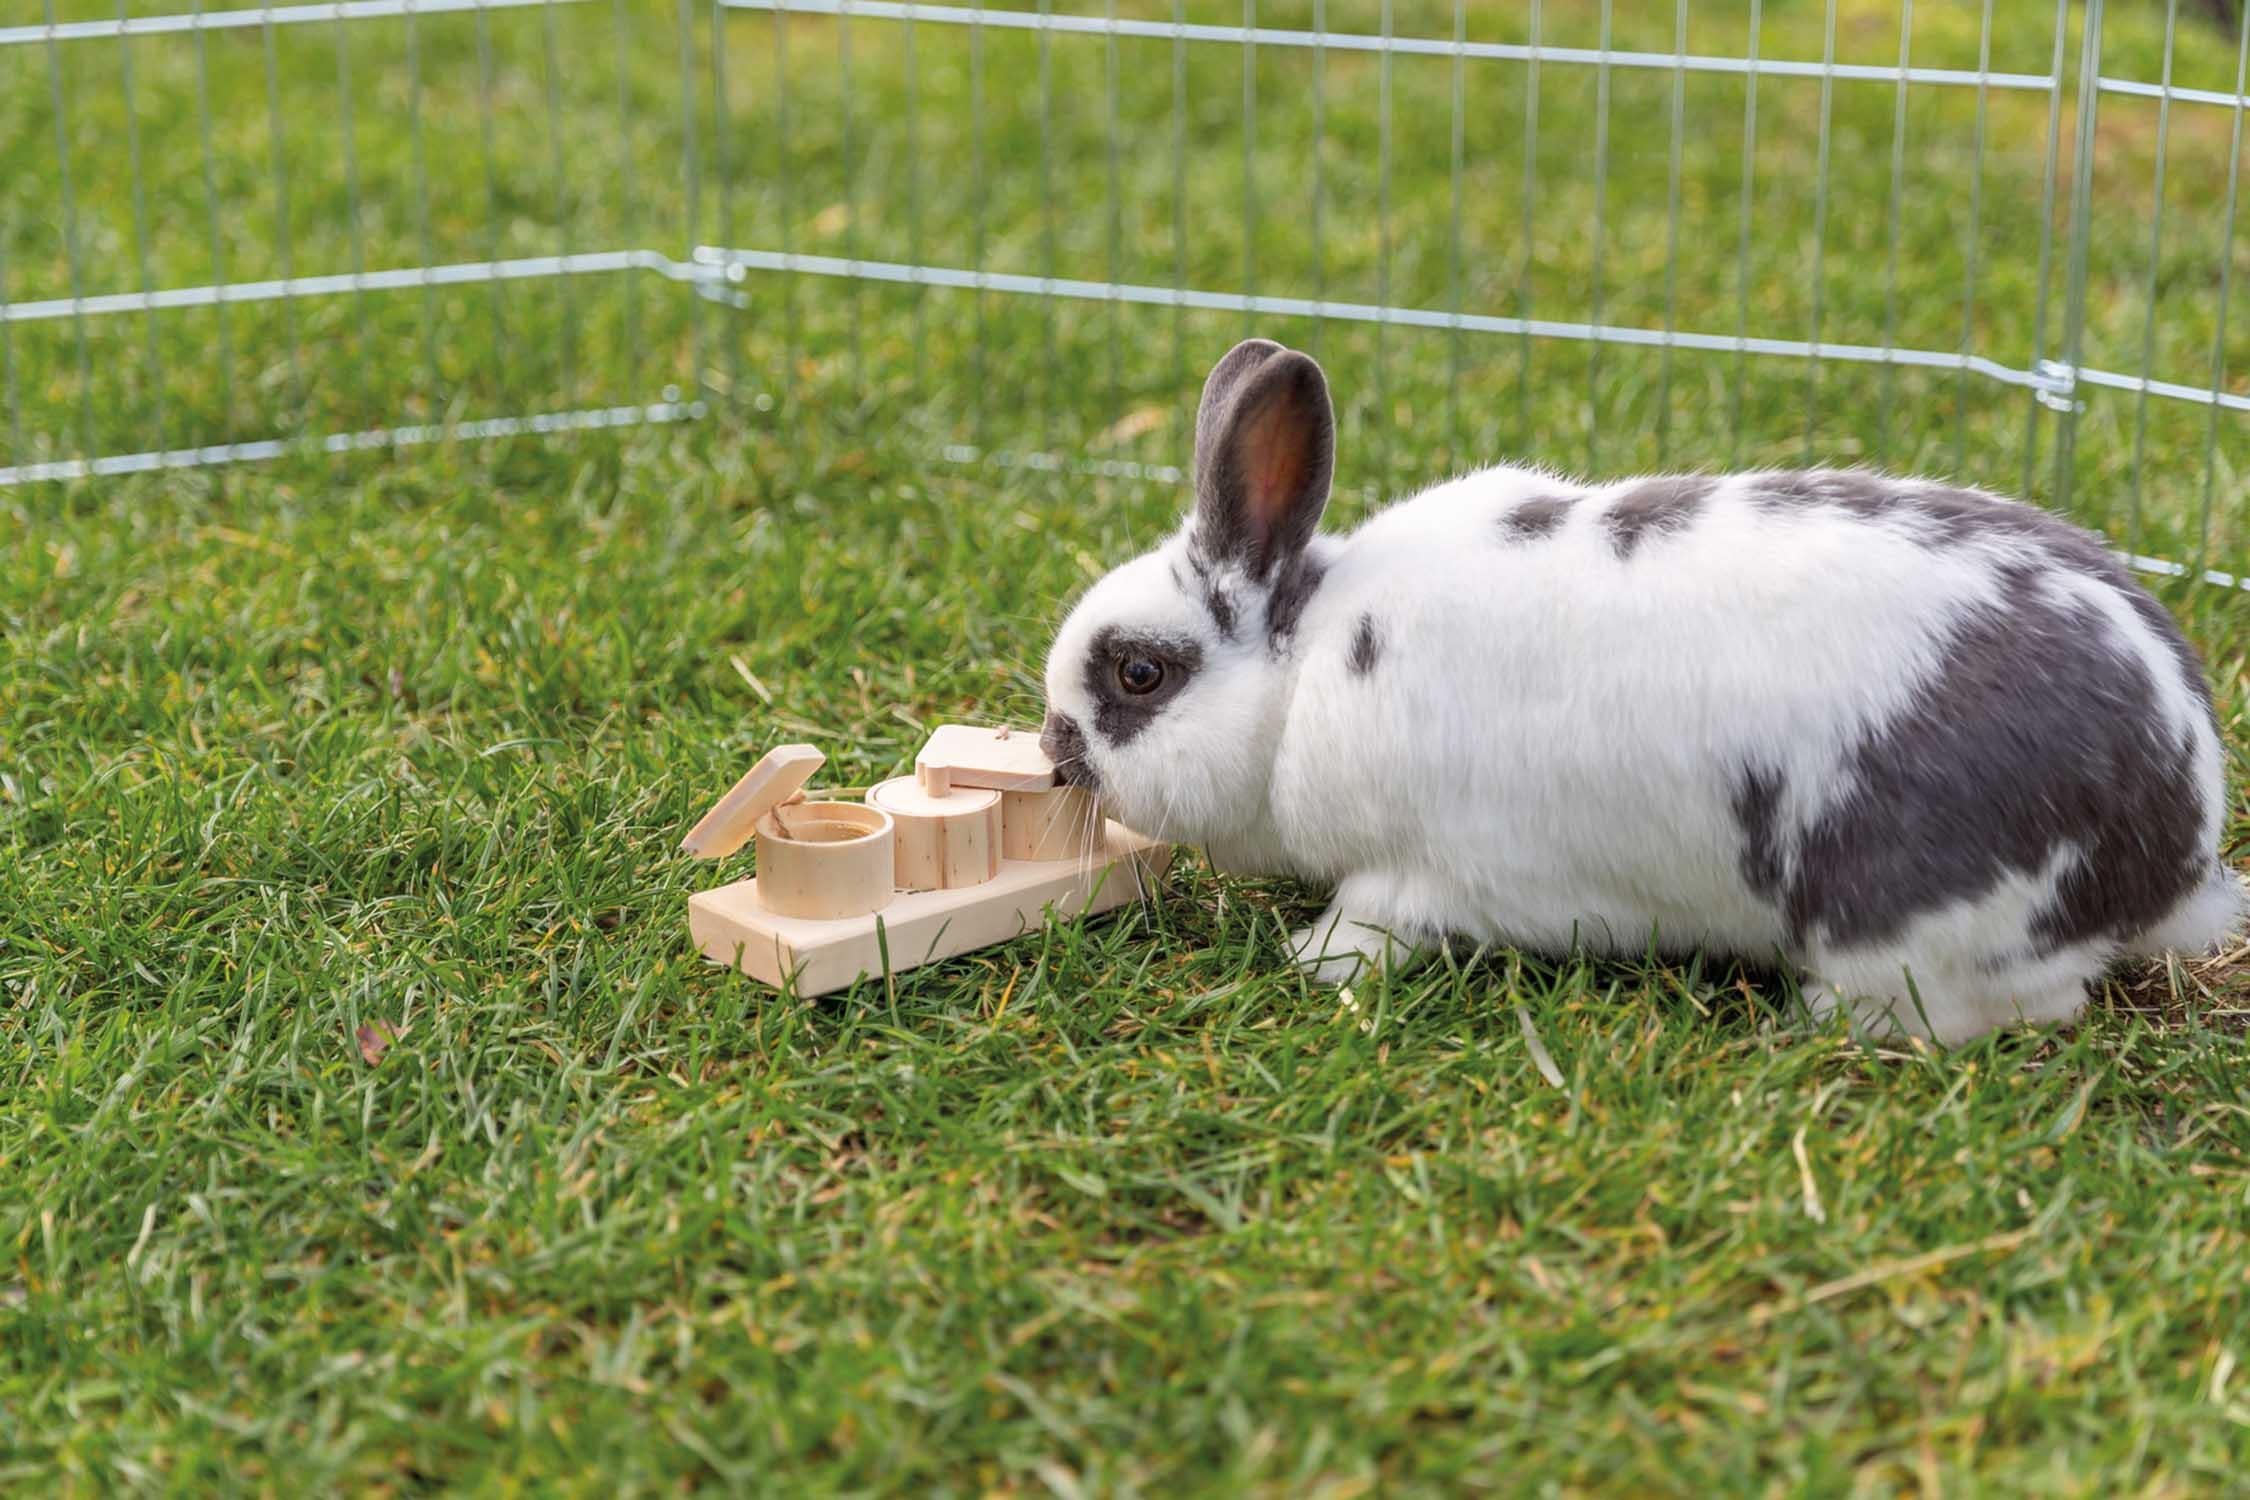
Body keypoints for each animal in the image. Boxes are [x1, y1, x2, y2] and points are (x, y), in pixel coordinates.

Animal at [1030, 339, 2232, 1043]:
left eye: (1139, 674)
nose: (1054, 750)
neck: (1306, 669)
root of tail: (2179, 844)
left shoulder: (1419, 873)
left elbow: (1368, 926)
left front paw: (1309, 962)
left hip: (1927, 923)